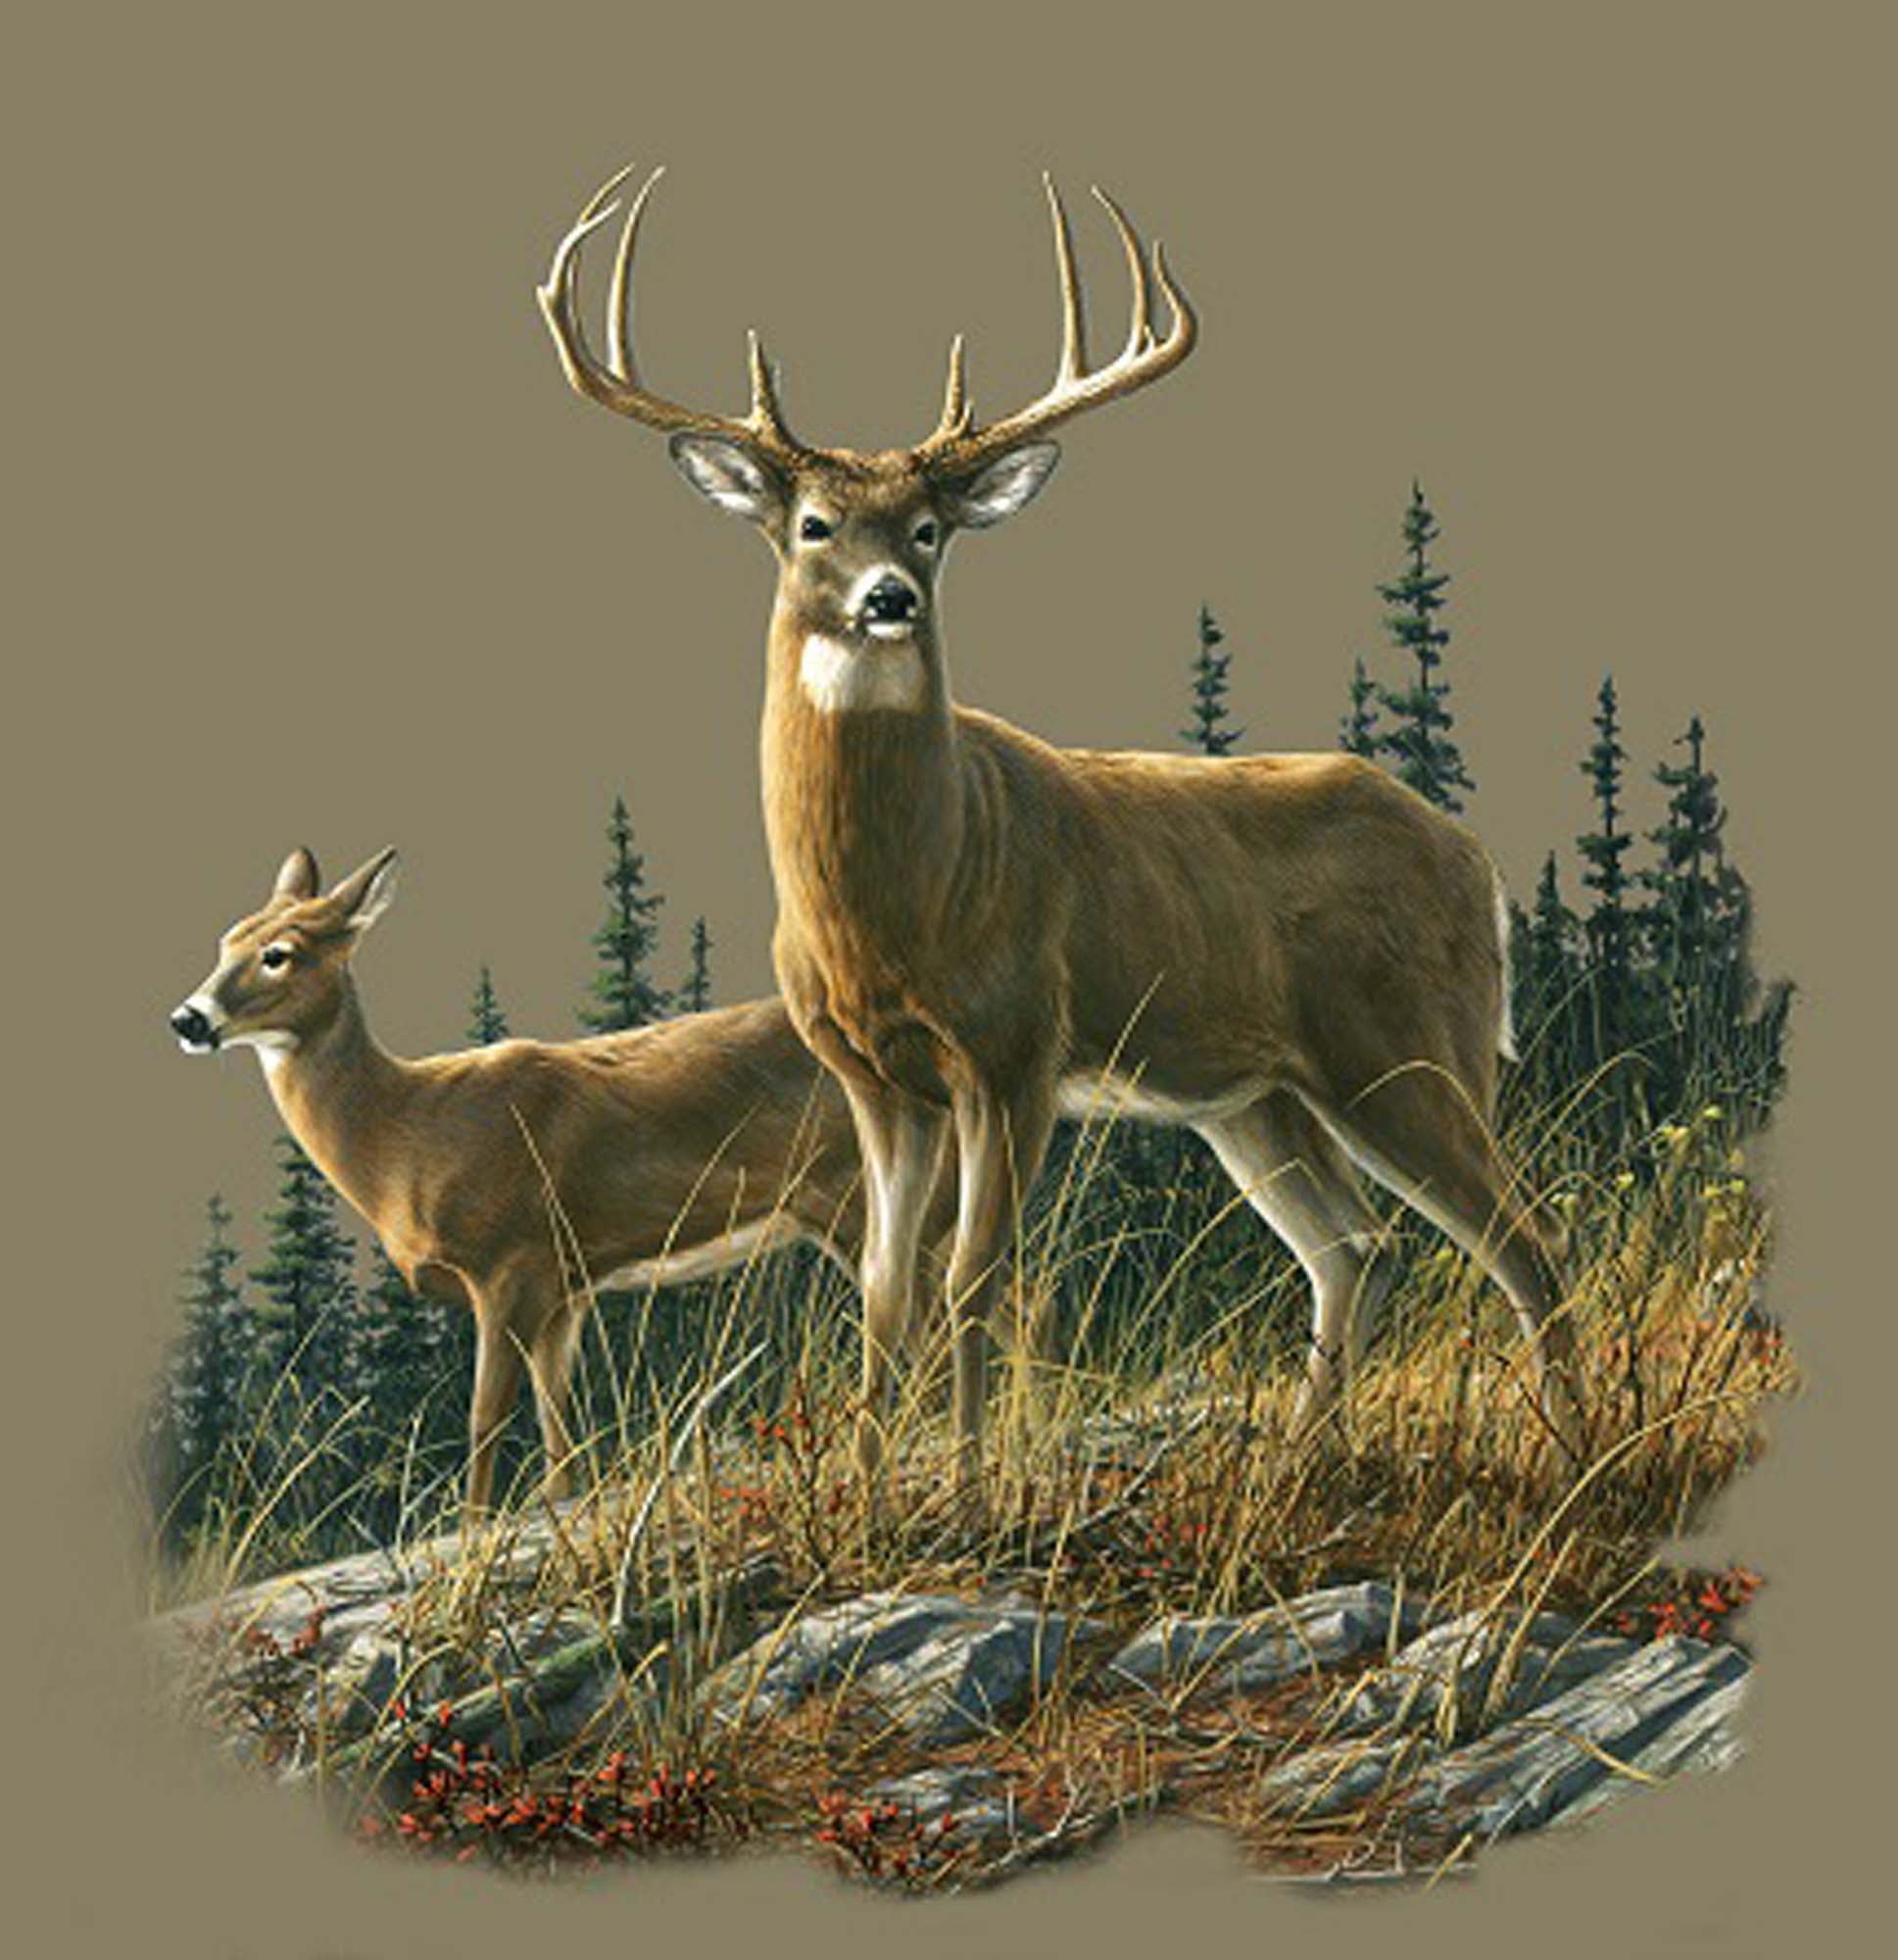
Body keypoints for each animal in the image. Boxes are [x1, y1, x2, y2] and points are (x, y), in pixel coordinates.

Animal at [168, 845, 953, 1518]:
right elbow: (555, 1418)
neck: (410, 1135)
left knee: (920, 1319)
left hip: (855, 1195)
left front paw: (476, 1532)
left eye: (279, 955)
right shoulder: (565, 1284)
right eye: (224, 942)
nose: (187, 1018)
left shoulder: (511, 1263)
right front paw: (555, 1508)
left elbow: (486, 1417)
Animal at [536, 163, 1590, 1486]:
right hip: (1252, 1092)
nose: (889, 596)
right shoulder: (873, 1075)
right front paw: (874, 1483)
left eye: (927, 526)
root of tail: (1473, 858)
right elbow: (885, 1289)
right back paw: (1301, 1455)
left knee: (1526, 1234)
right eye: (814, 523)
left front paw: (967, 1484)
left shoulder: (1014, 1046)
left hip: (1405, 1042)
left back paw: (1575, 1447)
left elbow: (976, 1278)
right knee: (1356, 1244)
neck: (893, 904)